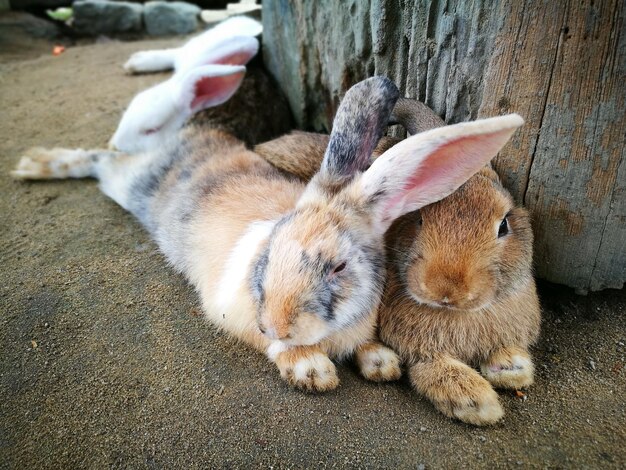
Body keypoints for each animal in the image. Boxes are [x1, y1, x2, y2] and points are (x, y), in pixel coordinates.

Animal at [252, 97, 536, 424]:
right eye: (419, 218)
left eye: (504, 225)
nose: (446, 289)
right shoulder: (422, 353)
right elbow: (437, 370)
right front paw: (478, 402)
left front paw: (511, 371)